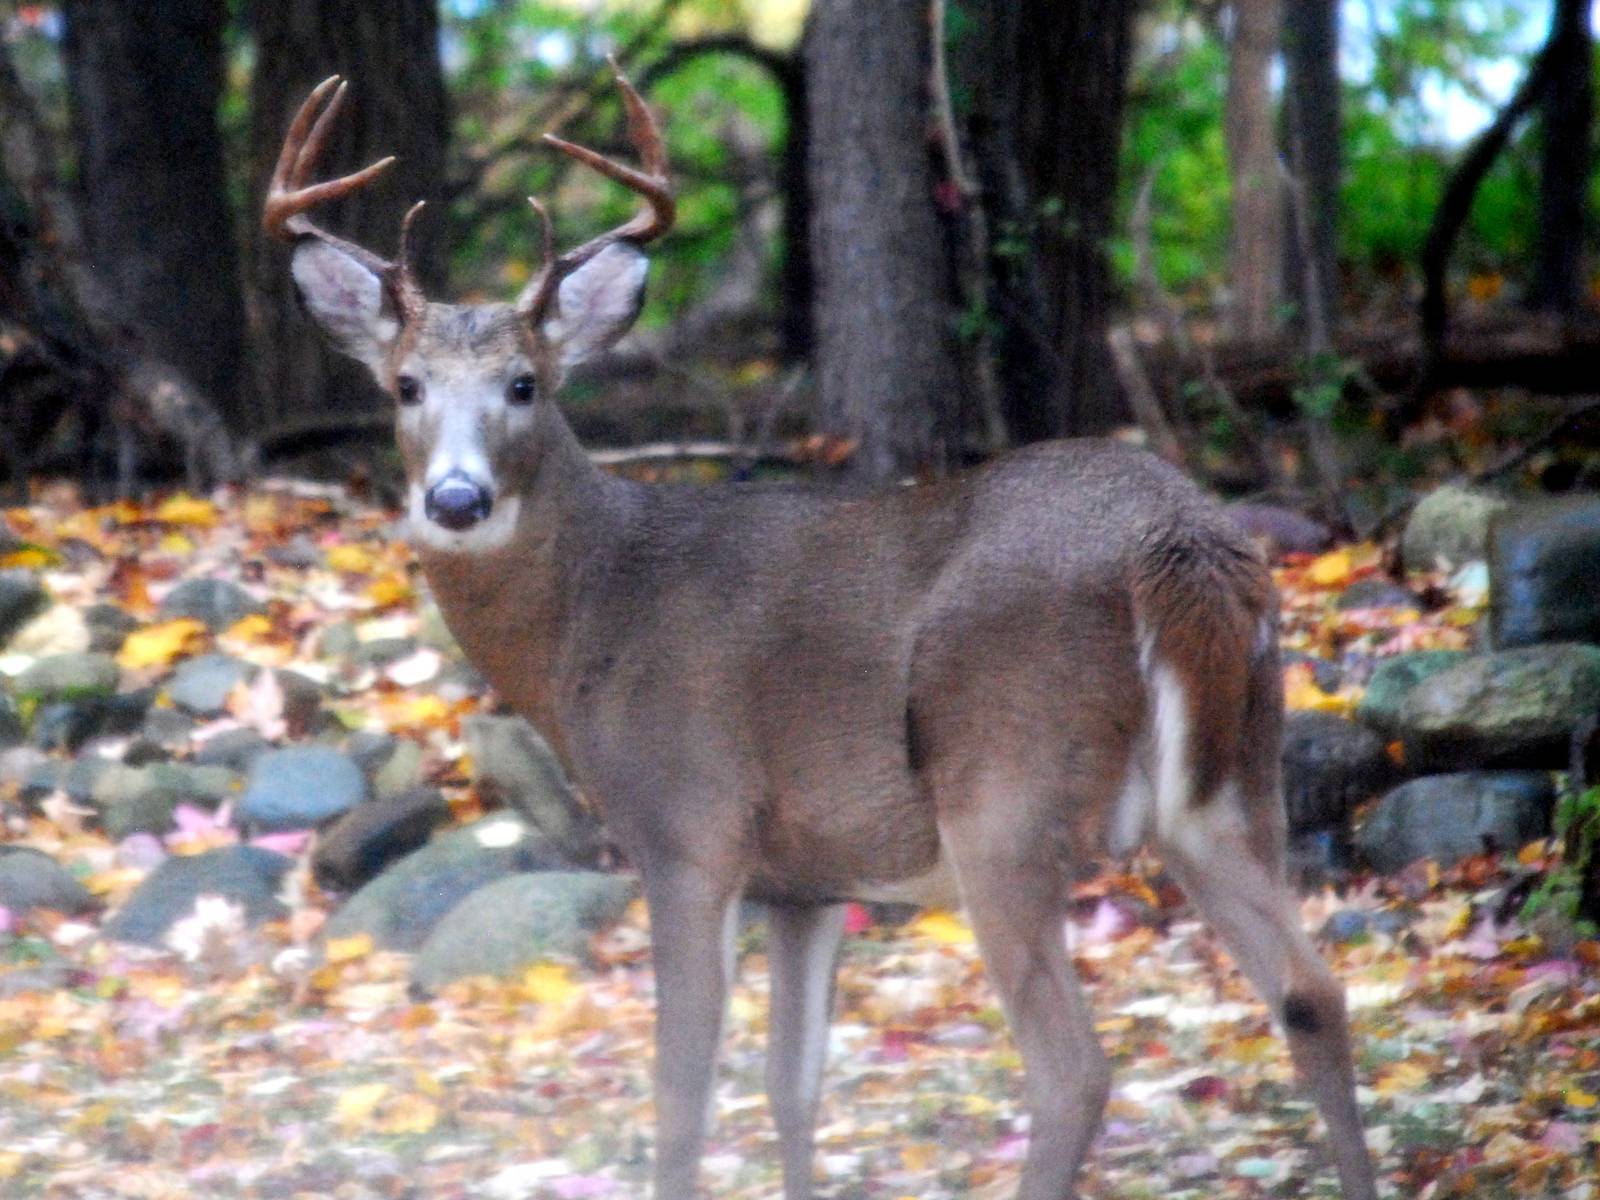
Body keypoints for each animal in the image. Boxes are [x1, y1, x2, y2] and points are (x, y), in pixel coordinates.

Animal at [264, 70, 1380, 1200]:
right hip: (1237, 781)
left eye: (524, 385)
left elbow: (682, 1095)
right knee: (1313, 993)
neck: (593, 619)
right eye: (405, 386)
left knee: (1073, 1068)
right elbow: (789, 1088)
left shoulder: (689, 826)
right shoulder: (805, 879)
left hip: (1006, 784)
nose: (455, 497)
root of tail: (1180, 541)